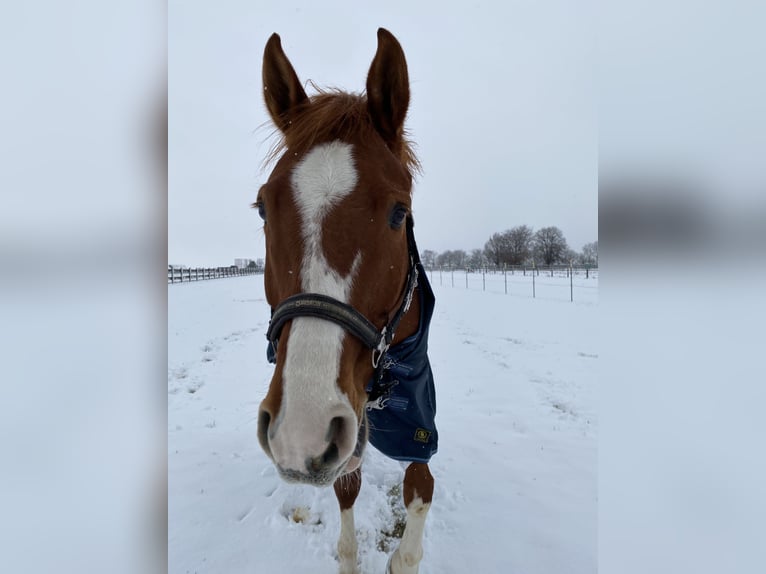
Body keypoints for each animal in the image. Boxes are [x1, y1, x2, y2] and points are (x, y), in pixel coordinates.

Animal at [255, 30, 438, 574]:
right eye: (262, 208)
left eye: (399, 211)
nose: (301, 431)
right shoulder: (346, 433)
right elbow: (346, 488)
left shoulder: (418, 417)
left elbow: (420, 490)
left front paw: (402, 559)